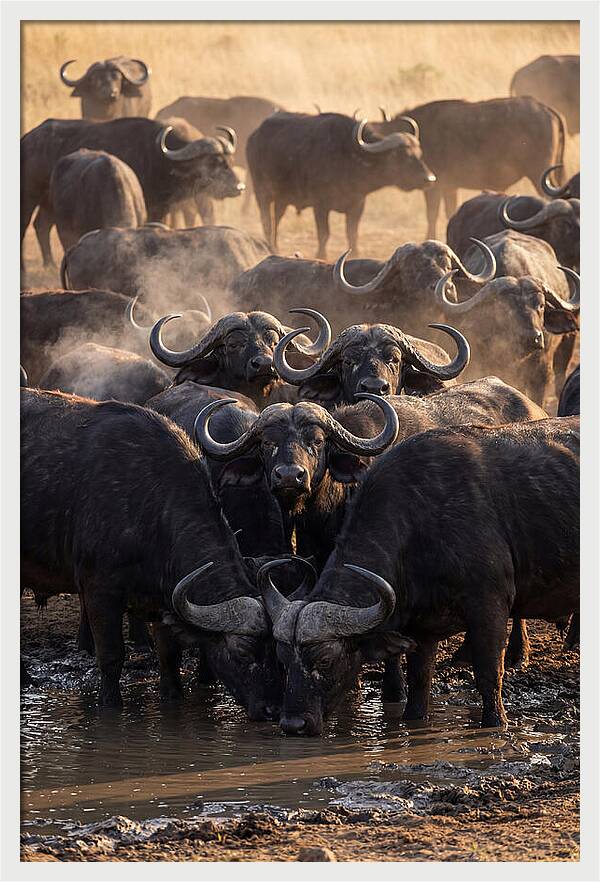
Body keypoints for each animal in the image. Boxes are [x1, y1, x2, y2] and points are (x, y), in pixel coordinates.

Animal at [247, 111, 435, 258]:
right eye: (401, 155)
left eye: (419, 153)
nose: (429, 179)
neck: (349, 158)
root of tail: (253, 137)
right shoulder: (320, 205)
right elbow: (324, 233)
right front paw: (321, 254)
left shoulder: (358, 204)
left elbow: (352, 233)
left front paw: (355, 253)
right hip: (261, 192)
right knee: (266, 221)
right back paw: (270, 247)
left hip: (282, 199)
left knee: (276, 218)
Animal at [261, 416, 579, 735]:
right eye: (283, 659)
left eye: (325, 660)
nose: (293, 724)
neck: (420, 523)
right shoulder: (421, 629)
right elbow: (418, 685)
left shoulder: (489, 605)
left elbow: (489, 676)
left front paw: (495, 723)